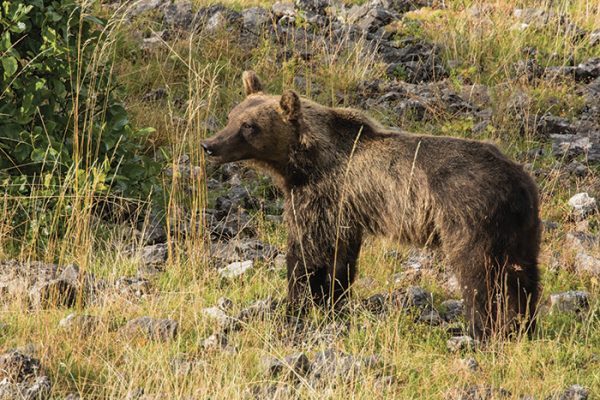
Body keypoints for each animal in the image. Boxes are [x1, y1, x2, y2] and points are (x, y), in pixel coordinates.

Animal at [203, 70, 544, 340]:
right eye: (232, 116)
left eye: (249, 126)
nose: (209, 145)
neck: (303, 162)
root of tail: (517, 179)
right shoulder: (344, 210)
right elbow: (339, 259)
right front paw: (331, 302)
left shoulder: (321, 196)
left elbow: (306, 252)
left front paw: (295, 304)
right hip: (520, 226)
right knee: (523, 275)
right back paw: (523, 326)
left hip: (468, 217)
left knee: (479, 274)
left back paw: (481, 330)